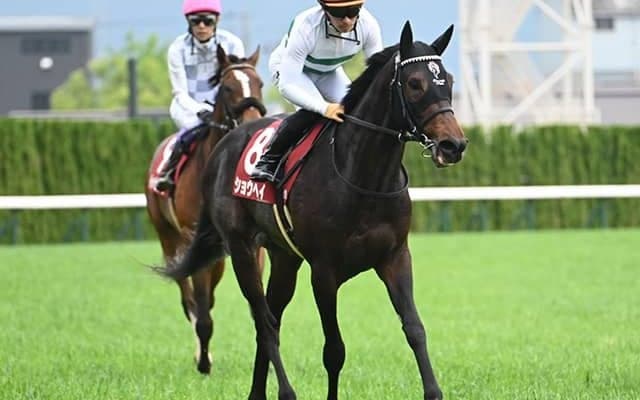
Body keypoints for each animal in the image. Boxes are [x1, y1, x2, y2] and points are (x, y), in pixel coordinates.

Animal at [145, 44, 266, 374]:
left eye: (260, 84)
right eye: (228, 87)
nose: (252, 124)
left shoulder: (255, 243)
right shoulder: (190, 236)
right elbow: (200, 310)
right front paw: (203, 364)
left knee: (207, 297)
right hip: (168, 237)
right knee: (190, 300)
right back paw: (202, 354)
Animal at [159, 21, 467, 399]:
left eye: (447, 80)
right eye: (414, 83)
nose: (453, 145)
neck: (363, 176)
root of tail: (223, 146)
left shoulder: (395, 257)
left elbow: (415, 328)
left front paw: (433, 391)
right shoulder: (323, 270)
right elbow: (334, 350)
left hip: (283, 258)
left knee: (270, 319)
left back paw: (257, 393)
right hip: (241, 249)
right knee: (264, 323)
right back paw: (284, 391)